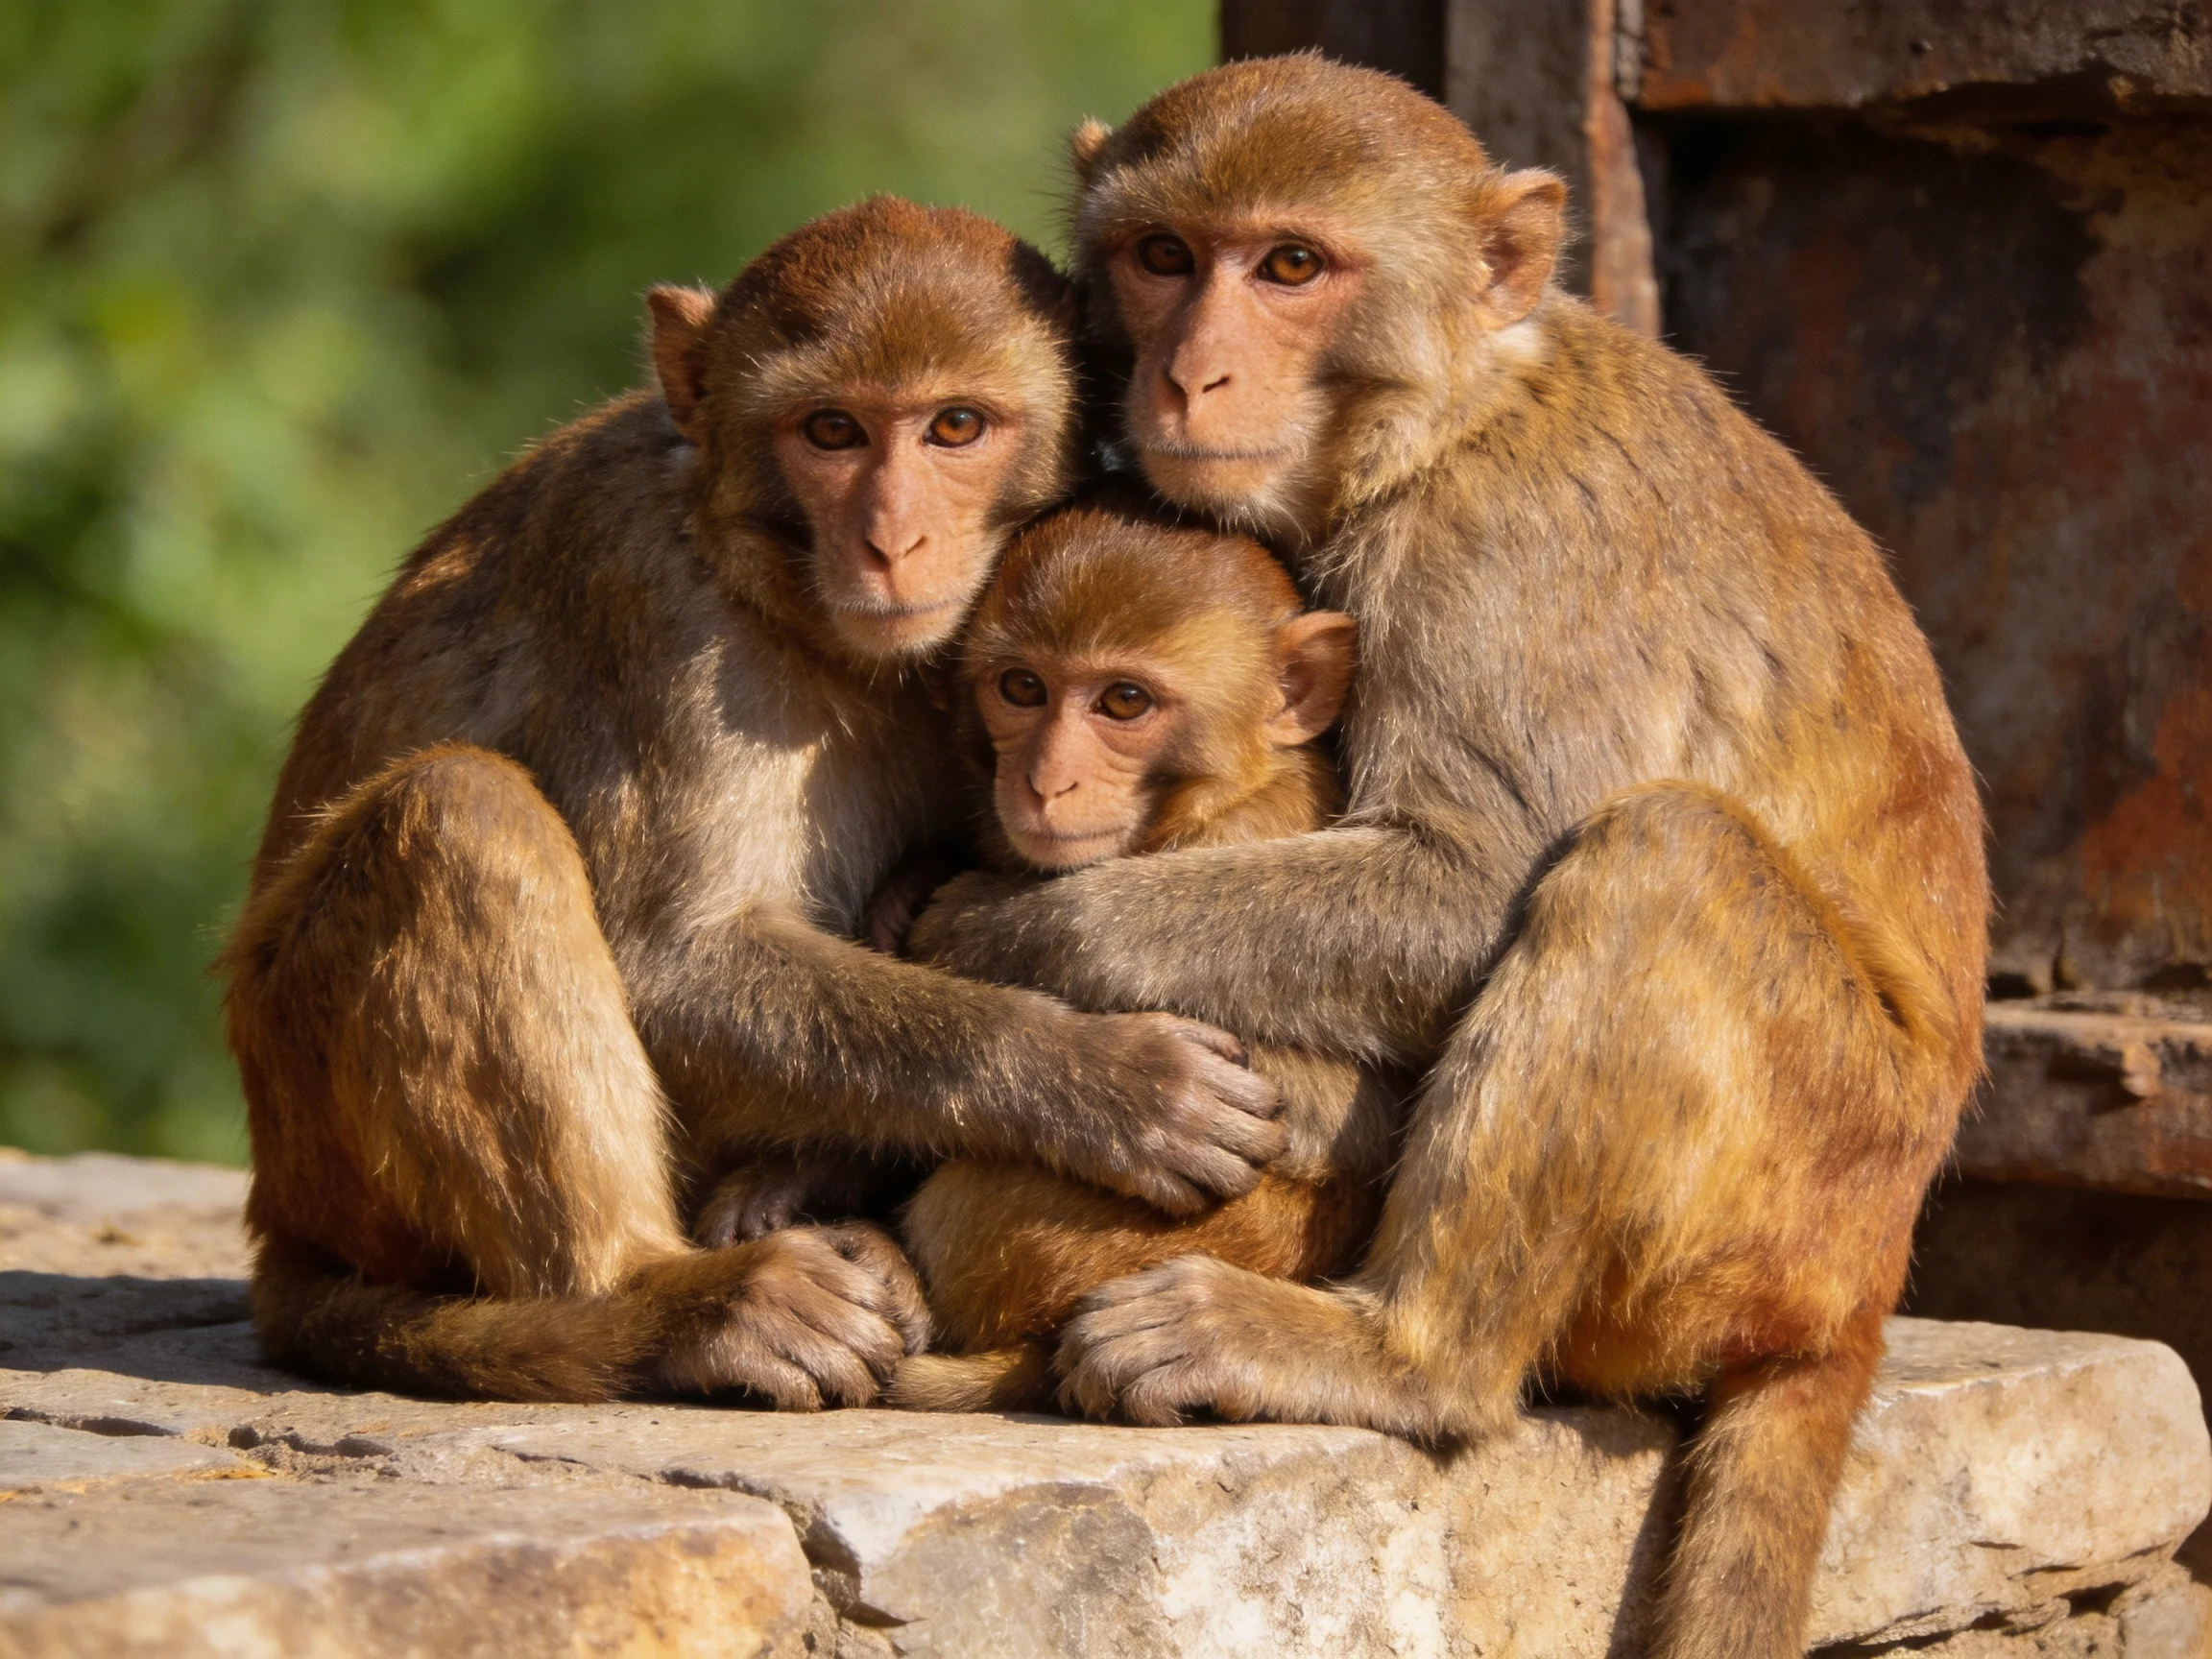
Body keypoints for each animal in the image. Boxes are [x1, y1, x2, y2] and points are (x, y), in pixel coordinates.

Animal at [221, 196, 1284, 1411]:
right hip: (320, 1139)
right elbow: (670, 963)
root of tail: (278, 1218)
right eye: (831, 431)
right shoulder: (649, 602)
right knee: (456, 808)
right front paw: (1105, 1081)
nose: (891, 540)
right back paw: (679, 1306)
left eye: (955, 427)